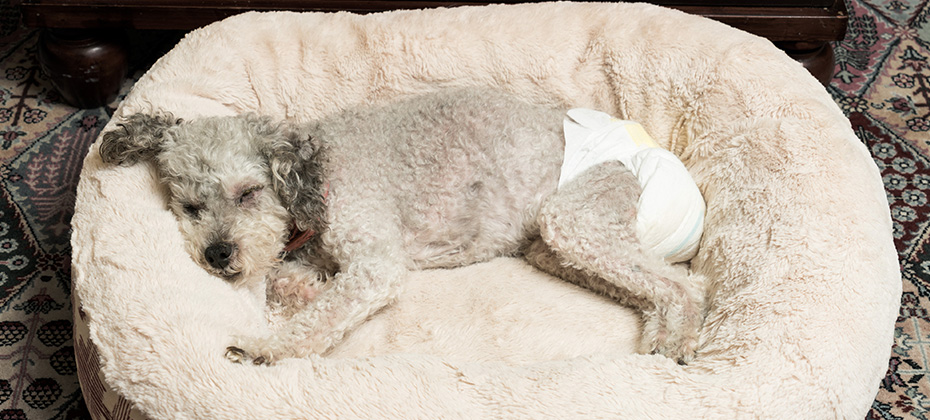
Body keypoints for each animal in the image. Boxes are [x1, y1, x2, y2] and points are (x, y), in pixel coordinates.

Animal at [96, 88, 704, 364]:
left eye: (248, 193)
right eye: (189, 207)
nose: (218, 255)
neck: (315, 178)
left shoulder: (373, 263)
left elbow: (320, 316)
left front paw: (264, 348)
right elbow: (294, 282)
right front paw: (306, 285)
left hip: (576, 215)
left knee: (685, 287)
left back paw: (675, 345)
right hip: (555, 247)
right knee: (654, 284)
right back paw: (658, 339)